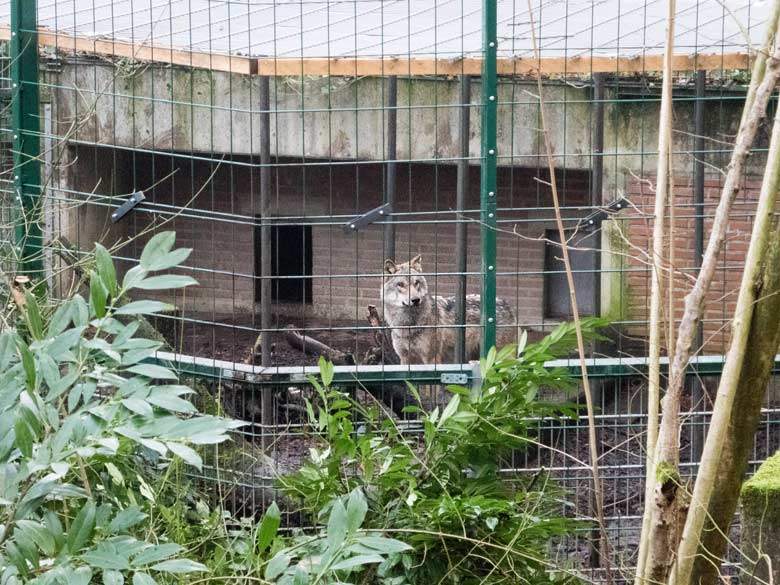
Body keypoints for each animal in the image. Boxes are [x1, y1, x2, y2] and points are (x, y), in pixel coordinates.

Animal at [380, 254, 516, 362]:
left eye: (416, 283)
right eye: (400, 285)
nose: (415, 300)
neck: (407, 325)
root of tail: (507, 304)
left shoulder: (432, 358)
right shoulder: (405, 359)